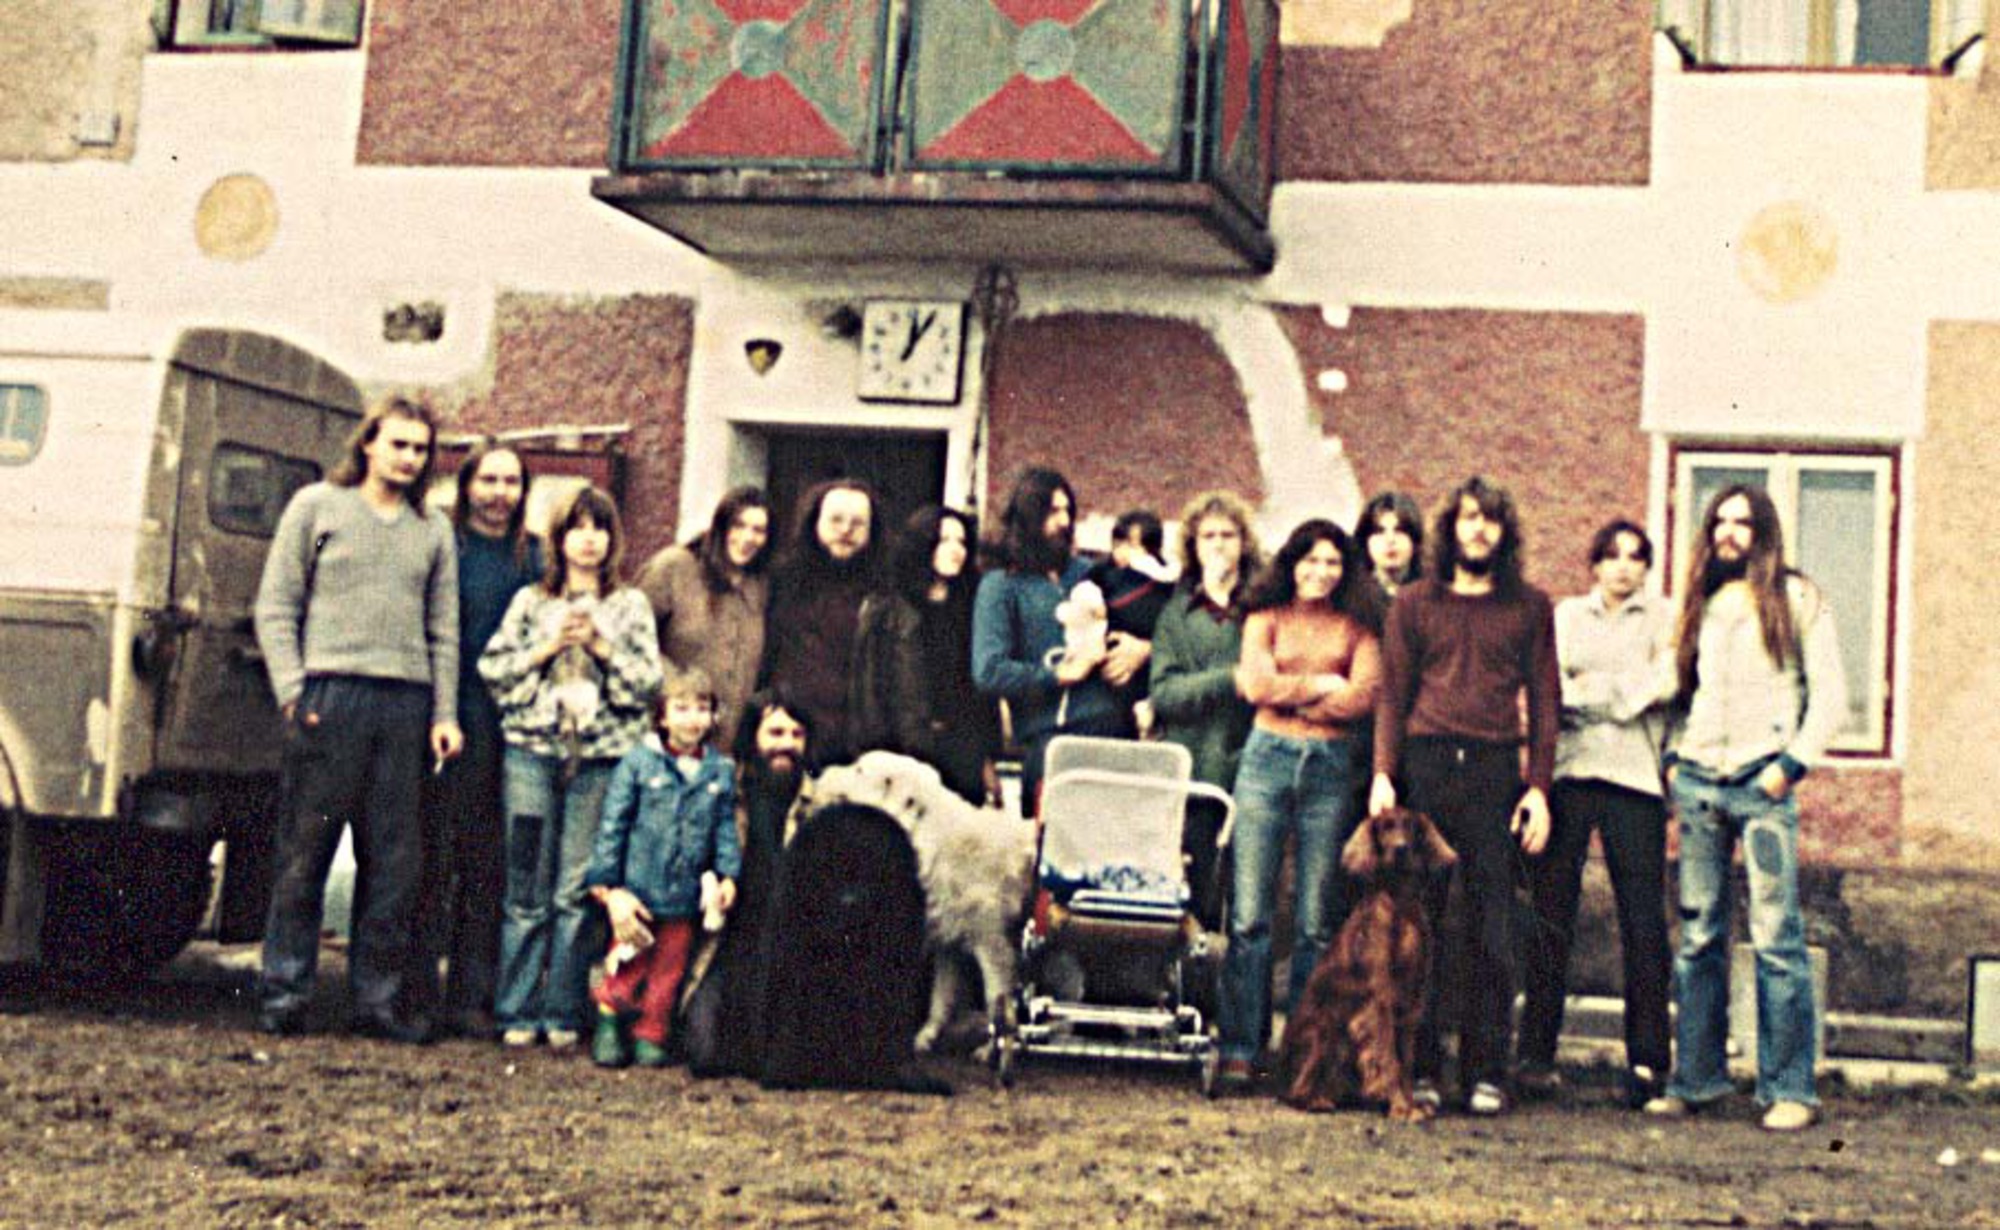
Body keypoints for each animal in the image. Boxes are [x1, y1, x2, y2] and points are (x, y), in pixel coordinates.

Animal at [809, 752, 1037, 1055]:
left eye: (858, 769)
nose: (819, 773)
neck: (929, 837)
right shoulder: (948, 941)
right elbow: (940, 997)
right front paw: (926, 1036)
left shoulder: (993, 945)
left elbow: (995, 1000)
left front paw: (992, 1049)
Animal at [1279, 806, 1456, 1121]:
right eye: (1386, 827)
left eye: (1410, 827)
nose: (1400, 848)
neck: (1400, 902)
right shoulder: (1379, 1001)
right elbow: (1389, 1060)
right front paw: (1401, 1107)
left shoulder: (1410, 1006)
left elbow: (1405, 1062)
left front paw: (1411, 1104)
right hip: (1326, 1030)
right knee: (1296, 1089)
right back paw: (1316, 1100)